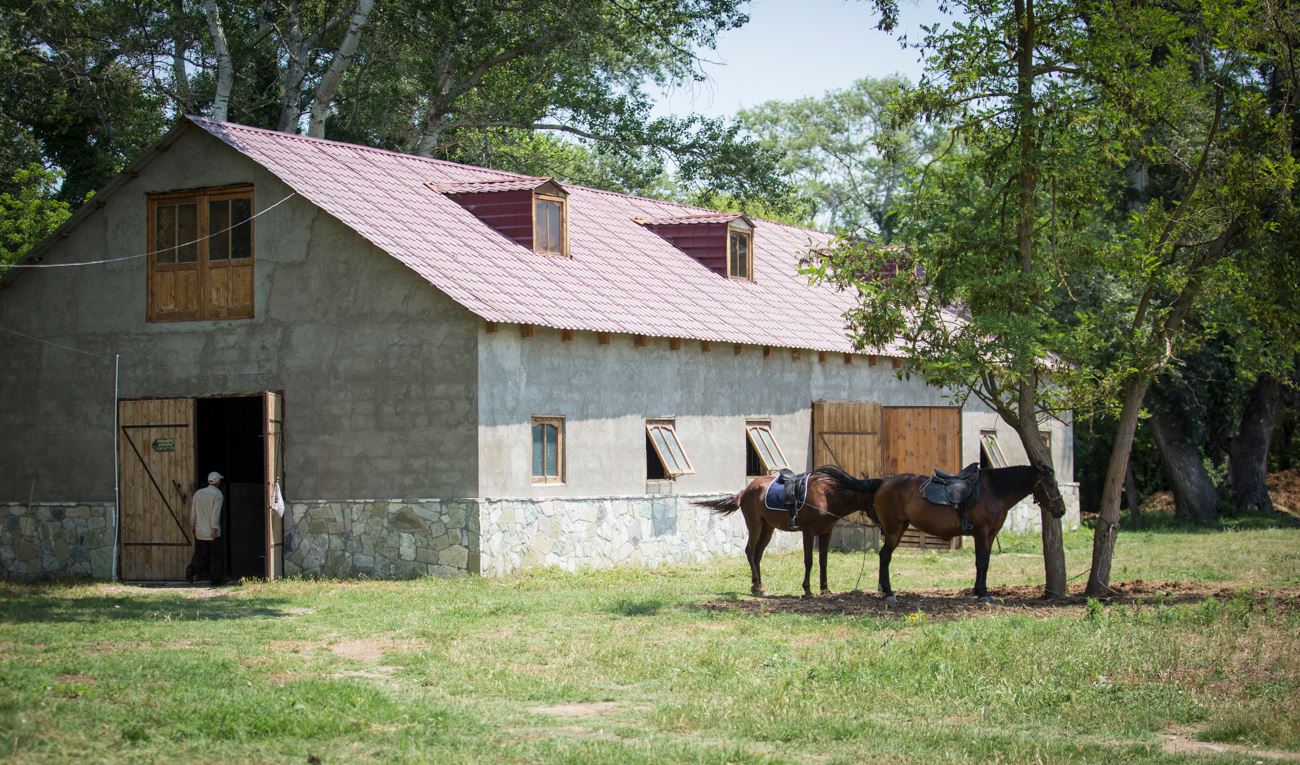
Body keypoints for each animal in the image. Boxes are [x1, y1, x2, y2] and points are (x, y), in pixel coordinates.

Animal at [695, 466, 881, 598]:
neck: (826, 495)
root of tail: (745, 491)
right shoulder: (808, 532)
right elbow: (809, 561)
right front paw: (807, 590)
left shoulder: (826, 533)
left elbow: (823, 561)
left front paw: (825, 589)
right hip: (755, 525)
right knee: (750, 551)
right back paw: (757, 585)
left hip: (768, 528)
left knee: (757, 554)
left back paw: (759, 587)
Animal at [866, 464, 1065, 603]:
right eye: (1049, 483)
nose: (1061, 510)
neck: (995, 491)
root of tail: (884, 482)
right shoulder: (981, 532)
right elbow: (981, 562)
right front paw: (983, 594)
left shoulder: (990, 535)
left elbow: (985, 562)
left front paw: (980, 590)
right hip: (894, 530)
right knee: (885, 556)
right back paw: (889, 593)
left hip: (900, 528)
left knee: (884, 556)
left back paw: (883, 589)